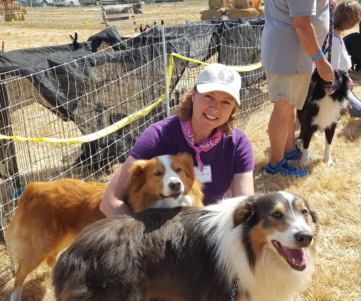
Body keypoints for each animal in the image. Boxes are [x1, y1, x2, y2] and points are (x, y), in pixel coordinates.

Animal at [6, 152, 202, 300]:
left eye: (178, 170)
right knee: (19, 275)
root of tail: (34, 186)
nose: (175, 184)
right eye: (157, 173)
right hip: (38, 246)